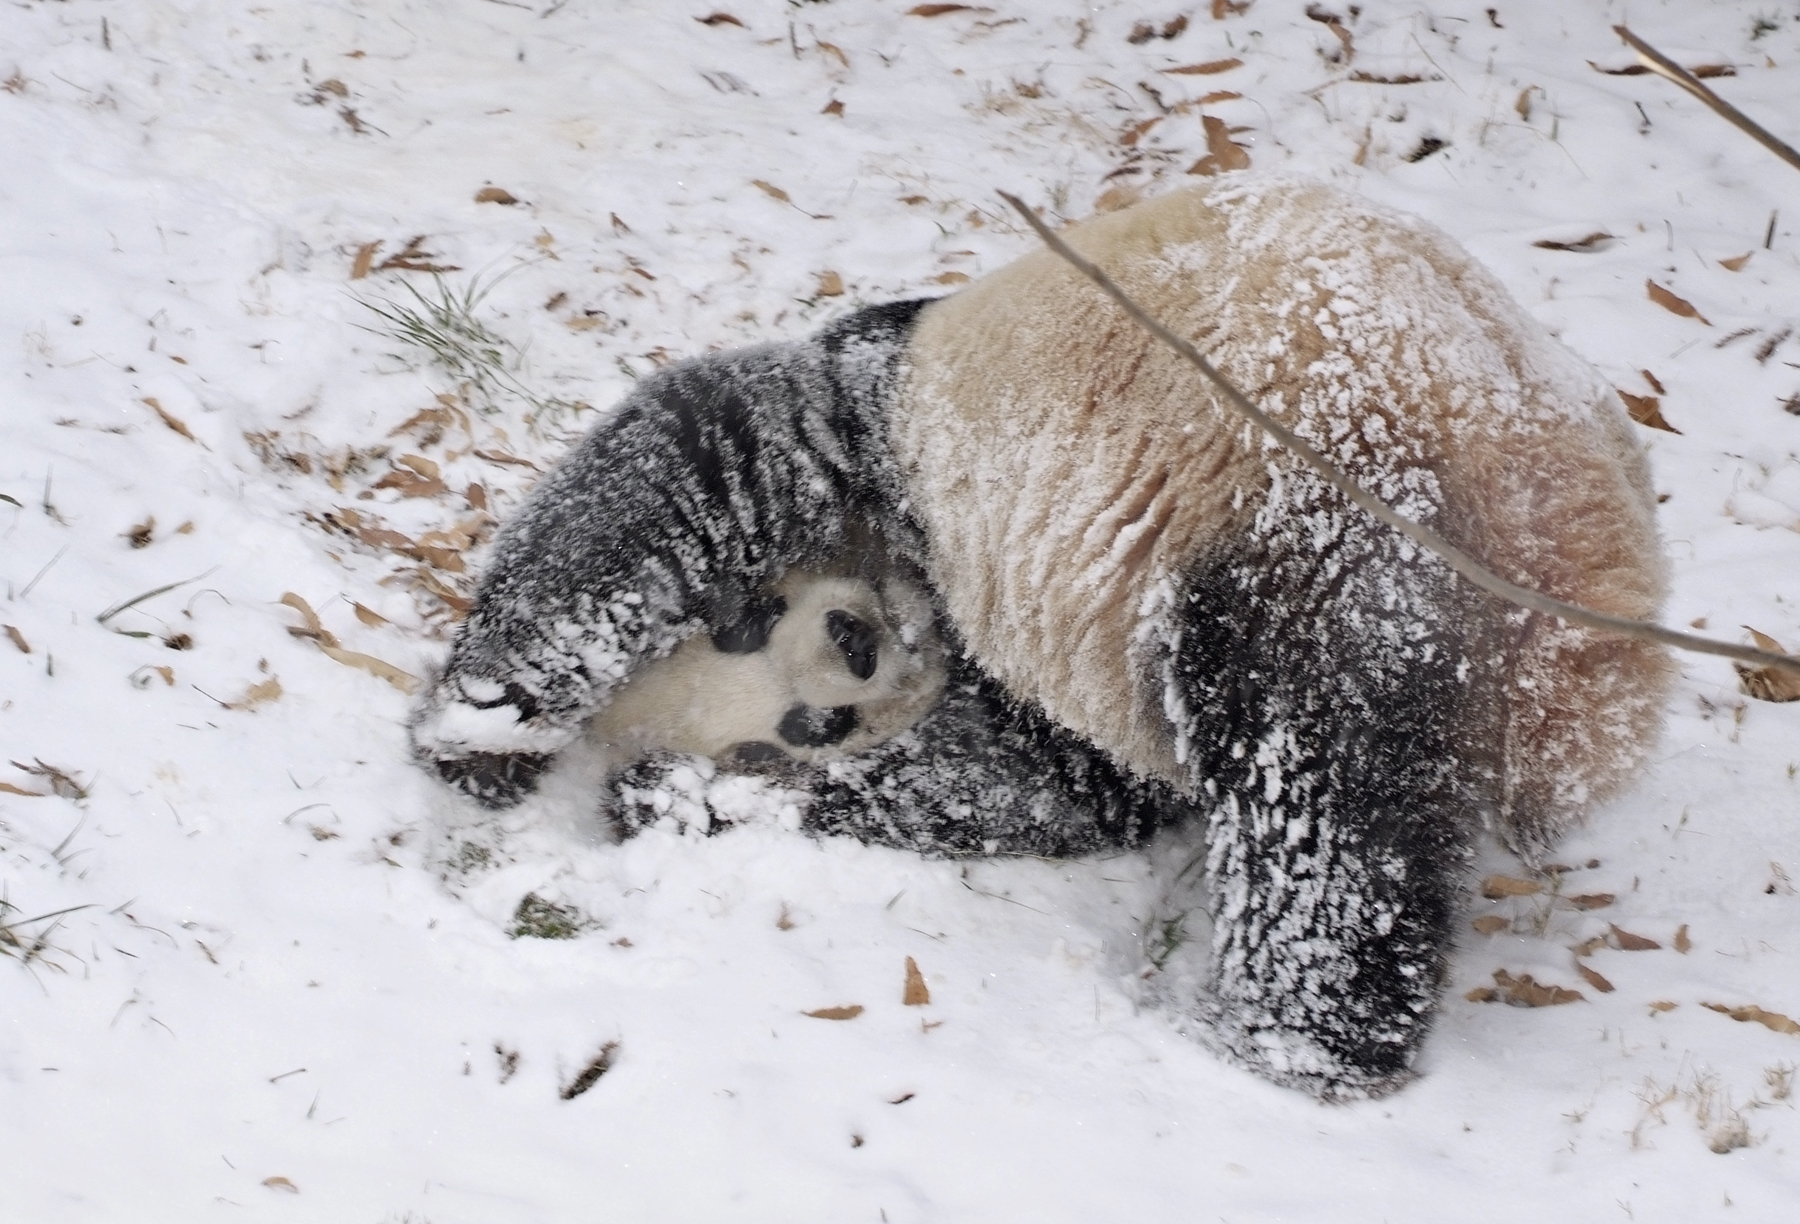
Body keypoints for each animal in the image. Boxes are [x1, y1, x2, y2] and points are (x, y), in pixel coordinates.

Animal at [412, 179, 1670, 1101]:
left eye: (772, 627)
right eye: (807, 715)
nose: (866, 644)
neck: (905, 585)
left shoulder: (892, 434)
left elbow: (713, 444)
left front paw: (495, 730)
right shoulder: (1069, 685)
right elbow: (1028, 782)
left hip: (1328, 540)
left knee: (1322, 816)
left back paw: (1282, 1049)